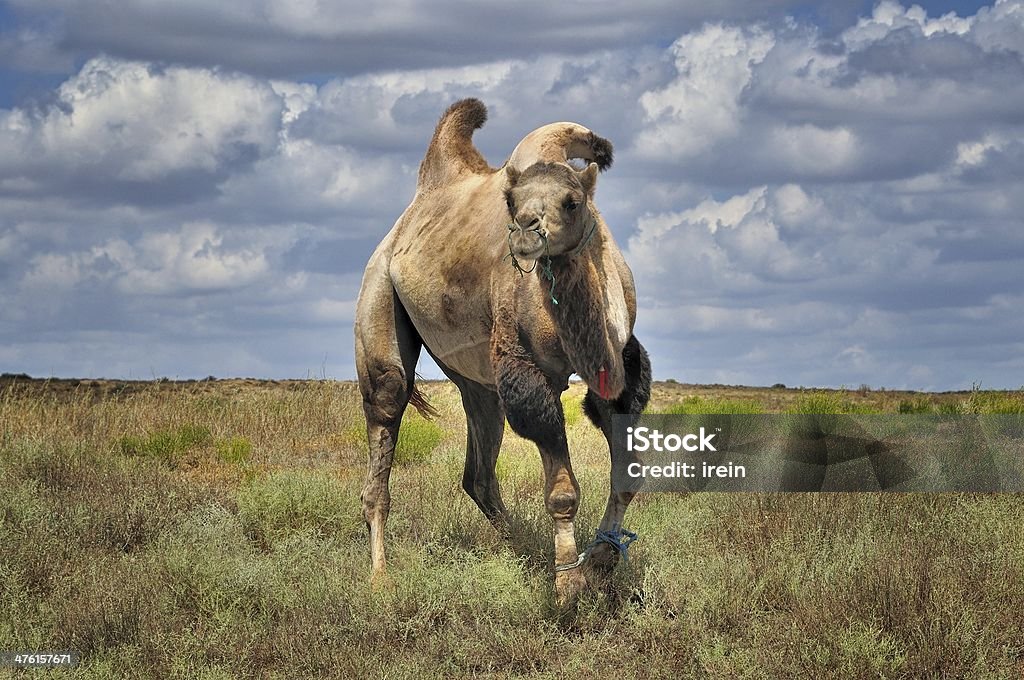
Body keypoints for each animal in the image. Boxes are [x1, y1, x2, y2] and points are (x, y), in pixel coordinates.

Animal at [356, 96, 651, 602]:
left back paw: (524, 549)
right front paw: (568, 586)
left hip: (477, 380)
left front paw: (600, 558)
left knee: (478, 471)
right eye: (510, 201)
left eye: (572, 202)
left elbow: (627, 472)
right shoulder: (527, 368)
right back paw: (380, 578)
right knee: (387, 405)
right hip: (379, 296)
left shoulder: (620, 365)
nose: (525, 232)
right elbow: (562, 490)